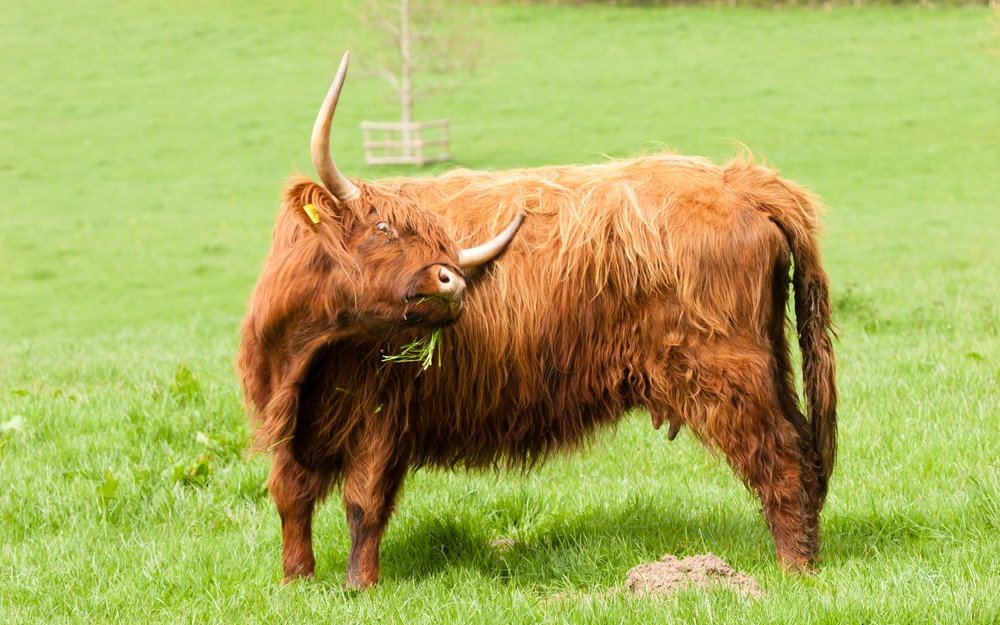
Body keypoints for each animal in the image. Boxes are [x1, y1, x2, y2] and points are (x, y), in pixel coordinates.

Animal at [236, 52, 836, 584]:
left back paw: (793, 569)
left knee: (781, 453)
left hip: (724, 367)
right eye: (382, 229)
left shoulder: (382, 417)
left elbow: (363, 503)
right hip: (768, 360)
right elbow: (289, 496)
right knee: (803, 444)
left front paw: (359, 586)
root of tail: (739, 180)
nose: (451, 281)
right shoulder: (293, 423)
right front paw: (296, 580)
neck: (303, 358)